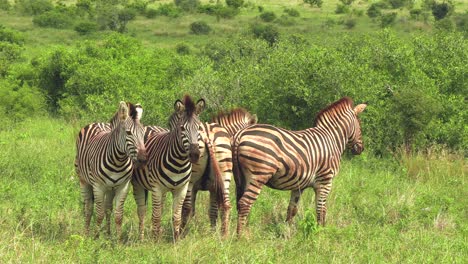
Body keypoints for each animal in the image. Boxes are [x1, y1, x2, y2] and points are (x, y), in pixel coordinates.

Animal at [75, 101, 146, 237]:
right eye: (128, 133)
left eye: (143, 134)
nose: (143, 159)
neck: (118, 162)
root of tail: (97, 123)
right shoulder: (98, 186)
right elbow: (99, 214)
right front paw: (95, 237)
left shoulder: (123, 186)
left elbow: (118, 216)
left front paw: (118, 240)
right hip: (84, 181)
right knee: (89, 208)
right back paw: (86, 234)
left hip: (110, 188)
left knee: (108, 208)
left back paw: (108, 234)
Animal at [132, 95, 223, 241]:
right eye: (182, 128)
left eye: (199, 128)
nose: (195, 154)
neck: (178, 164)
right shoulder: (157, 188)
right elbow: (156, 216)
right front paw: (155, 241)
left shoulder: (181, 189)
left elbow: (176, 216)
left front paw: (176, 239)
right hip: (138, 184)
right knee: (142, 211)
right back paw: (142, 237)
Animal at [180, 107, 258, 237]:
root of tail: (207, 136)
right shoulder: (213, 187)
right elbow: (212, 210)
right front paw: (210, 233)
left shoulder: (200, 187)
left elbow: (198, 209)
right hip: (223, 175)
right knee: (226, 206)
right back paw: (224, 235)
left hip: (193, 179)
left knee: (187, 207)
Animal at [232, 97, 368, 235]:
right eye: (360, 125)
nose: (361, 149)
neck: (332, 139)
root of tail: (241, 133)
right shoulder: (325, 181)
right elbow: (321, 209)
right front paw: (320, 232)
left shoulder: (299, 185)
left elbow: (292, 209)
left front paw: (288, 232)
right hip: (259, 174)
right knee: (245, 203)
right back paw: (241, 236)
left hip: (241, 177)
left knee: (239, 202)